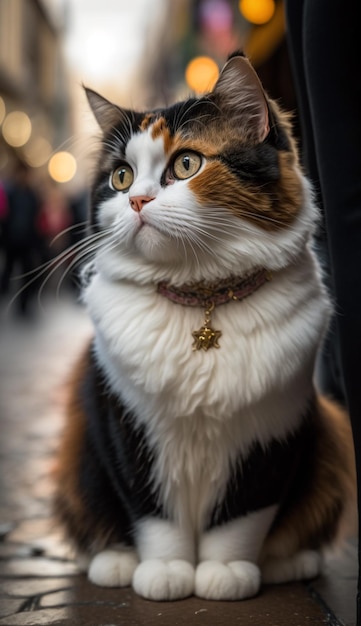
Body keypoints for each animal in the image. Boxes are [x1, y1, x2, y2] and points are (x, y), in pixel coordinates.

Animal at [54, 52, 354, 600]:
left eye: (187, 165)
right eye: (122, 177)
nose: (137, 201)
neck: (202, 301)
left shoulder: (273, 429)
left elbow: (243, 516)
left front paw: (226, 572)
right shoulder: (126, 424)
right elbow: (152, 513)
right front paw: (167, 572)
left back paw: (285, 563)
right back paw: (114, 563)